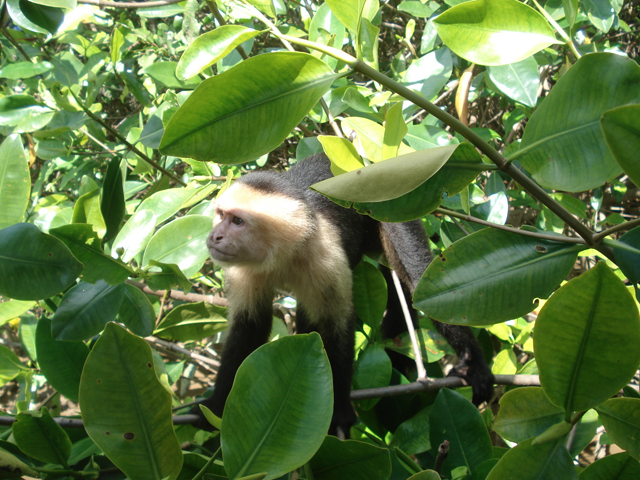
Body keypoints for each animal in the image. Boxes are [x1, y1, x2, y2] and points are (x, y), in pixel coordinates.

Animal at [194, 153, 494, 438]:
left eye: (238, 221)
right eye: (220, 215)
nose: (215, 236)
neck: (284, 251)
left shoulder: (324, 256)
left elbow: (333, 328)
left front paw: (338, 411)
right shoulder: (244, 268)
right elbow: (250, 325)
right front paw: (216, 408)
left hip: (393, 209)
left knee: (420, 279)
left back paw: (471, 361)